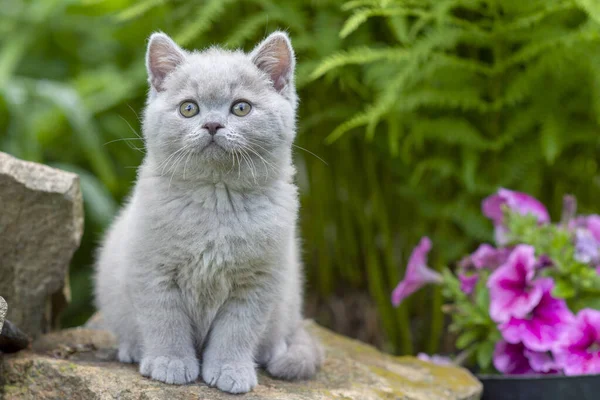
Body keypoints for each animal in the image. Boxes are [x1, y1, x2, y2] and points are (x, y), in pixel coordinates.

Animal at [95, 31, 324, 394]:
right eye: (188, 108)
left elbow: (237, 331)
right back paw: (132, 349)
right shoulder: (152, 272)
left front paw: (231, 370)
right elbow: (165, 322)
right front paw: (170, 364)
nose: (213, 124)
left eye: (241, 107)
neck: (217, 199)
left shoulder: (257, 283)